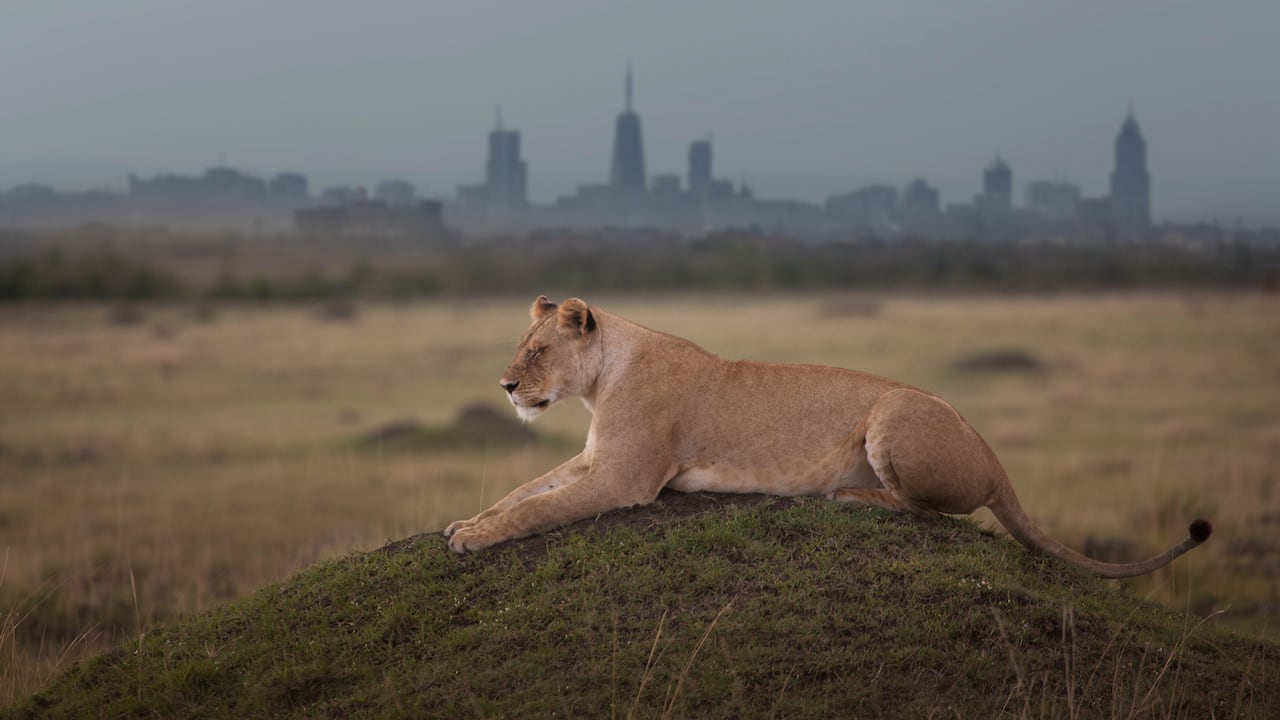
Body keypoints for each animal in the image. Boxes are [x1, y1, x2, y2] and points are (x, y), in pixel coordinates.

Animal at [444, 296, 1212, 577]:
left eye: (537, 352)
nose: (506, 386)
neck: (604, 374)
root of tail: (994, 456)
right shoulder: (594, 461)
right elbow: (523, 491)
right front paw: (464, 522)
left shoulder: (625, 480)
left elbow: (540, 510)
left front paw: (474, 540)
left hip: (894, 411)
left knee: (927, 510)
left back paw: (850, 497)